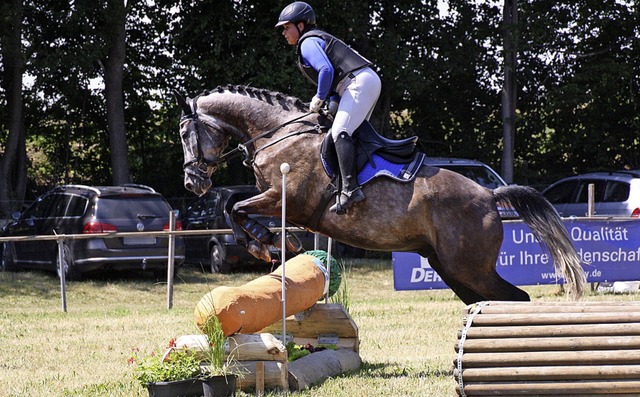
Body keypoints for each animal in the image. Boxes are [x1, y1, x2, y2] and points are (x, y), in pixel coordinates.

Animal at [174, 84, 584, 304]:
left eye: (184, 133)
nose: (193, 184)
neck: (277, 133)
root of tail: (490, 195)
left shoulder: (285, 197)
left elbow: (235, 206)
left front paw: (264, 243)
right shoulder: (276, 200)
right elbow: (236, 208)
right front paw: (271, 242)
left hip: (469, 267)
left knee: (516, 298)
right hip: (451, 268)